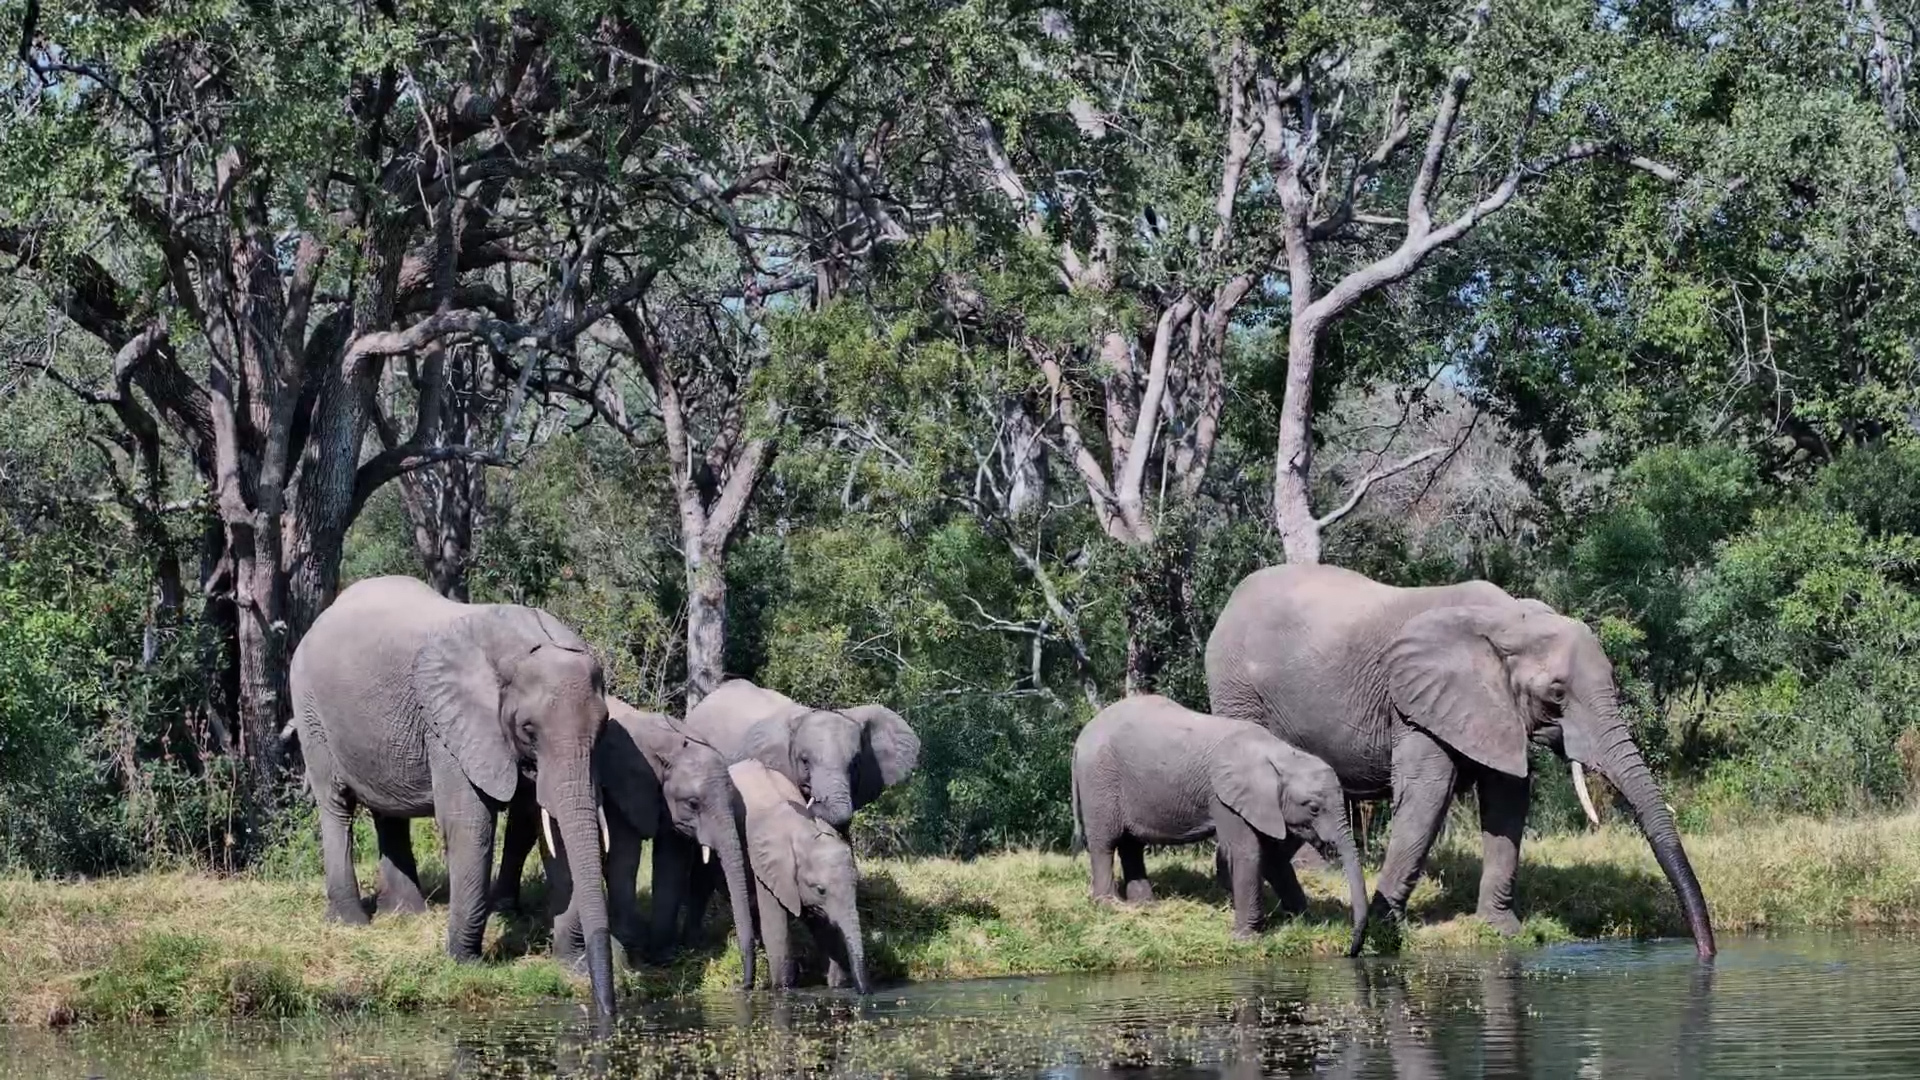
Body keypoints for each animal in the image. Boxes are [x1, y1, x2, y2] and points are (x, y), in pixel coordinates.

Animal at [287, 575, 619, 1015]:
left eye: (604, 726)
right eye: (529, 729)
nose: (607, 1010)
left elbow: (552, 827)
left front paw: (570, 966)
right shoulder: (447, 723)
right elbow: (470, 824)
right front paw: (466, 964)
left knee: (388, 814)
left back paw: (405, 915)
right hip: (309, 707)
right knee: (336, 803)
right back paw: (351, 922)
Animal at [729, 760, 871, 993]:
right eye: (820, 889)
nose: (865, 992)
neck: (803, 830)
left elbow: (823, 925)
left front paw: (837, 986)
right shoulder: (766, 867)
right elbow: (776, 931)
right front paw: (783, 990)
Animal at [1069, 694, 1368, 949]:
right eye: (1314, 808)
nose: (1351, 950)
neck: (1278, 754)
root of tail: (1081, 738)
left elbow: (1271, 857)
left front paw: (1304, 921)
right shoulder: (1225, 798)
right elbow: (1248, 853)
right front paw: (1246, 939)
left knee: (1132, 845)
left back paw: (1145, 906)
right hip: (1099, 779)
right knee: (1105, 843)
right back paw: (1109, 905)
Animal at [1204, 563, 1716, 959]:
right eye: (1556, 694)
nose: (1706, 955)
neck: (1510, 621)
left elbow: (1508, 800)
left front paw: (1500, 930)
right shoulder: (1415, 705)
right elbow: (1428, 795)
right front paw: (1386, 931)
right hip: (1238, 694)